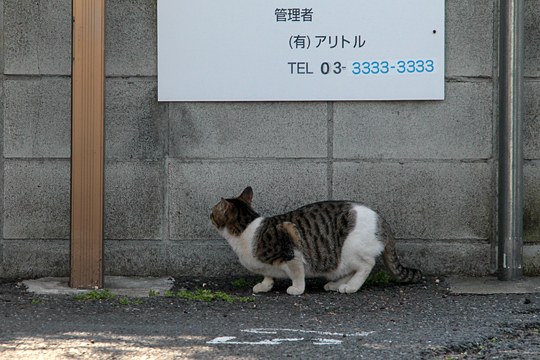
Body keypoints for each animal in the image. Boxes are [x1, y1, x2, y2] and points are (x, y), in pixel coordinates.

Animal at [210, 187, 422, 294]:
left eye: (213, 212)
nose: (208, 214)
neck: (246, 230)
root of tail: (381, 220)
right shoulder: (267, 263)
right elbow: (268, 274)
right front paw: (264, 285)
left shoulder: (291, 250)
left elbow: (297, 273)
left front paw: (296, 289)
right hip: (339, 259)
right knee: (349, 269)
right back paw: (335, 285)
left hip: (352, 248)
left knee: (366, 265)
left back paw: (351, 287)